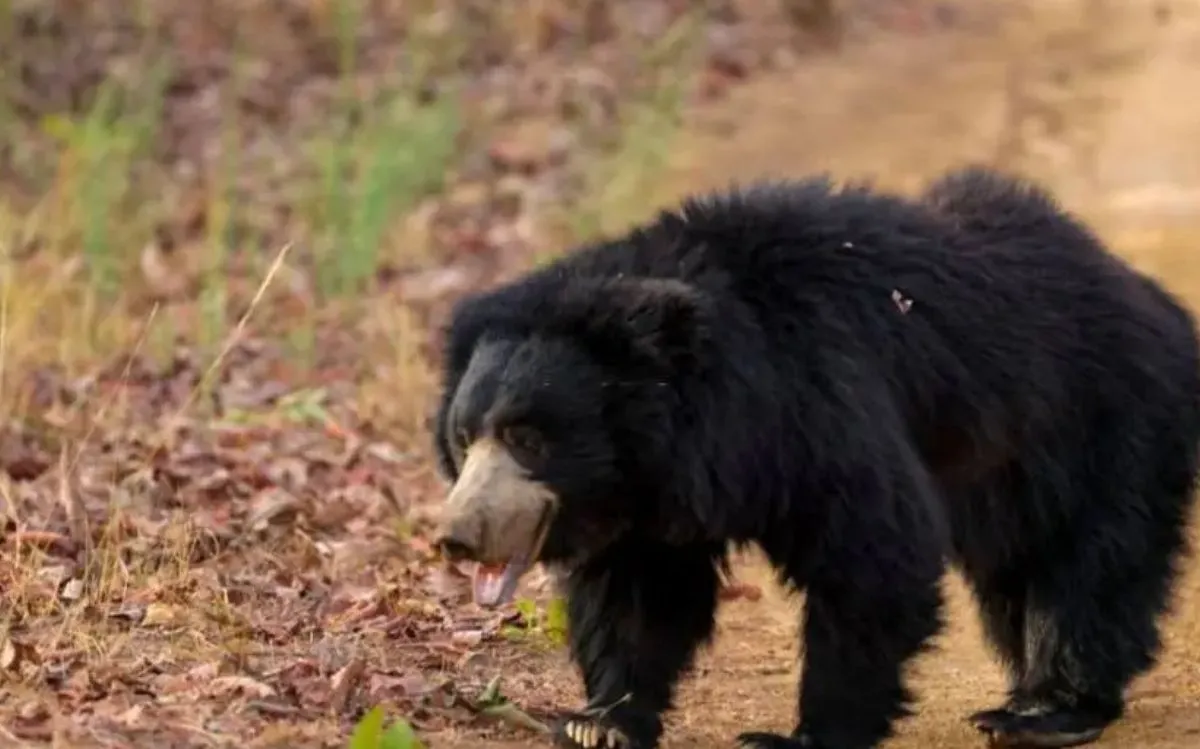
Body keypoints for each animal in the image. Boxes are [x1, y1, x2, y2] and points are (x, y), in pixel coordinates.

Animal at [430, 165, 1200, 749]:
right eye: (465, 439)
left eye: (528, 438)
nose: (456, 537)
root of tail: (1159, 304)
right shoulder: (648, 498)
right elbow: (640, 595)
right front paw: (599, 723)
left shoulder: (820, 402)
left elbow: (872, 554)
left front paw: (798, 737)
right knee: (1019, 574)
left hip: (1104, 426)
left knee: (1089, 567)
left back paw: (1047, 710)